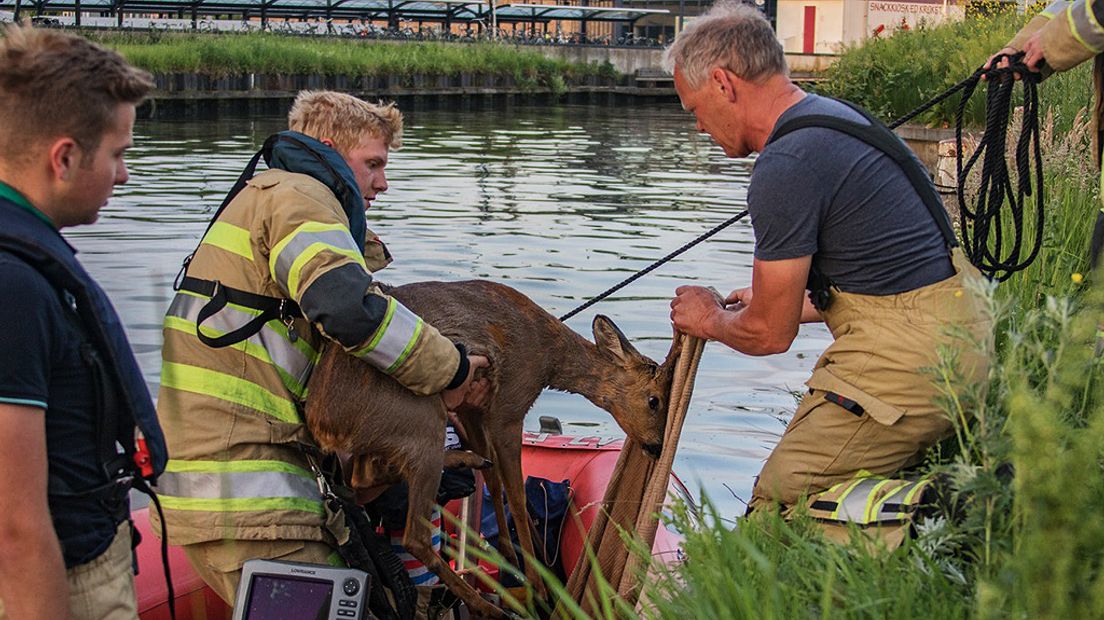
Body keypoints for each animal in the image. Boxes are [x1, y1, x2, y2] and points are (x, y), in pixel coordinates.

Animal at [306, 281, 675, 617]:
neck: (548, 358)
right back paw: (484, 605)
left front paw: (510, 555)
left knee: (362, 478)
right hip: (420, 416)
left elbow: (496, 484)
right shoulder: (508, 407)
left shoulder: (473, 404)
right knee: (414, 535)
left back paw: (464, 460)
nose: (657, 446)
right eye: (654, 400)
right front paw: (537, 584)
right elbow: (518, 498)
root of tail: (321, 421)